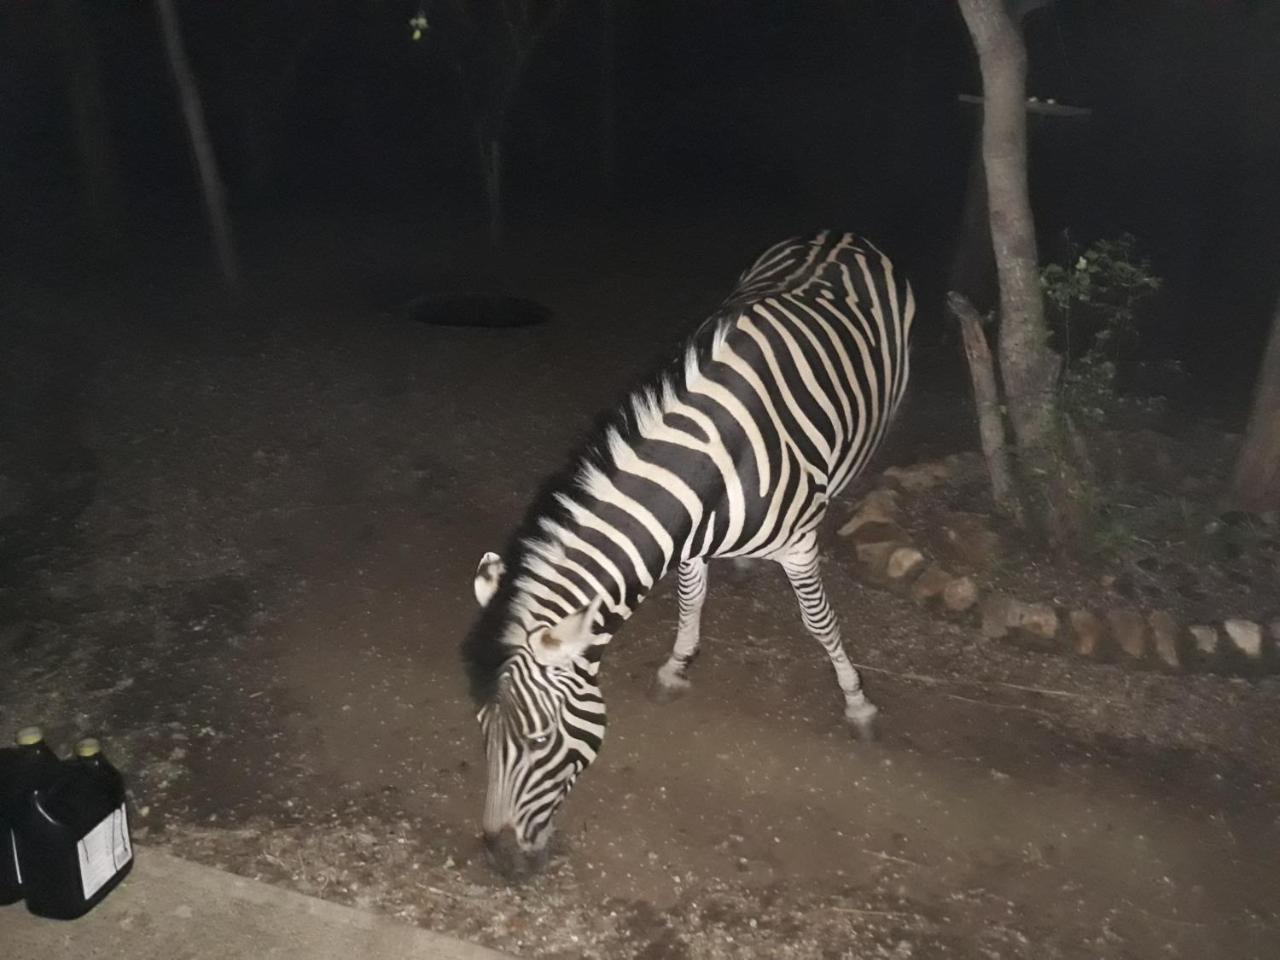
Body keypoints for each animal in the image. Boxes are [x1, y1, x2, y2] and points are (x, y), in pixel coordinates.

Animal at [465, 231, 916, 880]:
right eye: (482, 728)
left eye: (540, 739)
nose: (498, 858)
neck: (717, 464)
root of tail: (841, 234)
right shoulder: (689, 541)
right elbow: (690, 599)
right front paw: (677, 665)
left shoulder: (798, 546)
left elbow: (819, 621)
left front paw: (856, 702)